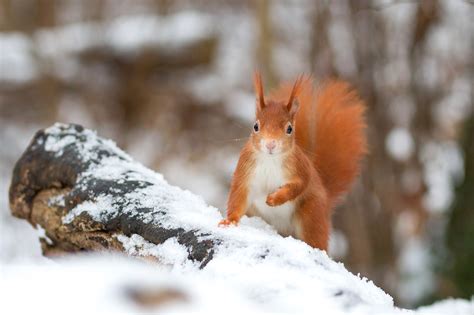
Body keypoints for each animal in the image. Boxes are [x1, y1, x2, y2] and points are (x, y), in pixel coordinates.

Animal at [218, 72, 366, 252]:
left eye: (289, 129)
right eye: (255, 126)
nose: (270, 144)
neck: (270, 160)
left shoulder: (300, 167)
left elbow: (299, 185)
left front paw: (275, 198)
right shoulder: (245, 170)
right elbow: (238, 196)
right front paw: (229, 221)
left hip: (311, 216)